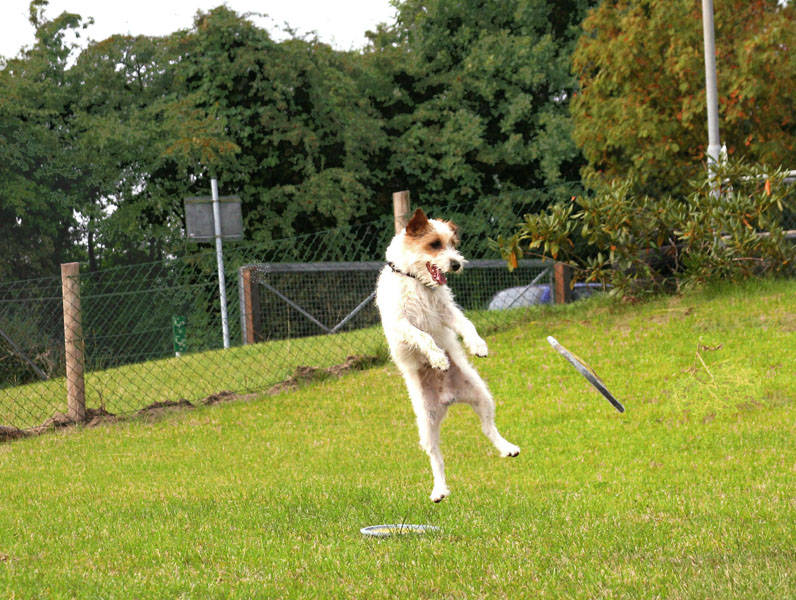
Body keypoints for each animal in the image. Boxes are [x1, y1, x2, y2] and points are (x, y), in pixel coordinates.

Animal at [376, 207, 520, 502]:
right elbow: (424, 336)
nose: (456, 264)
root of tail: (449, 398)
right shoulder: (400, 323)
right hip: (426, 423)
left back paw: (506, 447)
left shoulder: (446, 311)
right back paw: (439, 489)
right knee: (436, 457)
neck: (417, 282)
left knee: (488, 428)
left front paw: (477, 345)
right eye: (434, 244)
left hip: (482, 396)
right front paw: (438, 358)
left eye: (454, 244)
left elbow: (466, 324)